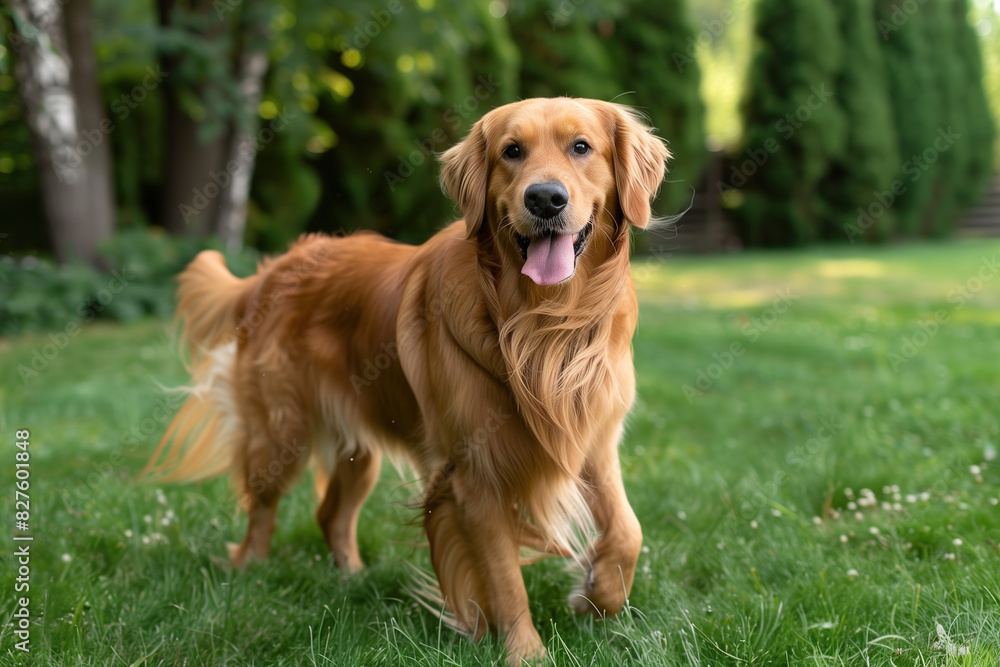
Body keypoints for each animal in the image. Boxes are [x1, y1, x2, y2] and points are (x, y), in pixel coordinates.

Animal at [145, 96, 668, 664]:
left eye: (581, 147)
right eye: (512, 151)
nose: (545, 198)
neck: (543, 324)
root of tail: (275, 267)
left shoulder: (592, 441)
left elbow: (629, 530)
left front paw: (597, 596)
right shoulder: (474, 474)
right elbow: (504, 578)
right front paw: (525, 652)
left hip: (360, 451)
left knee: (331, 514)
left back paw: (352, 579)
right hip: (280, 434)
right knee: (260, 508)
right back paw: (249, 575)